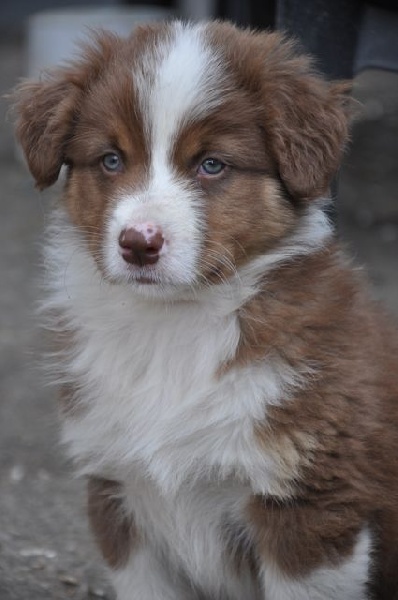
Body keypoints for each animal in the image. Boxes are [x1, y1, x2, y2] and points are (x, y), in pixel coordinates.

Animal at [12, 19, 398, 600]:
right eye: (111, 160)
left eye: (212, 165)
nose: (138, 243)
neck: (173, 325)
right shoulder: (119, 497)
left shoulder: (311, 509)